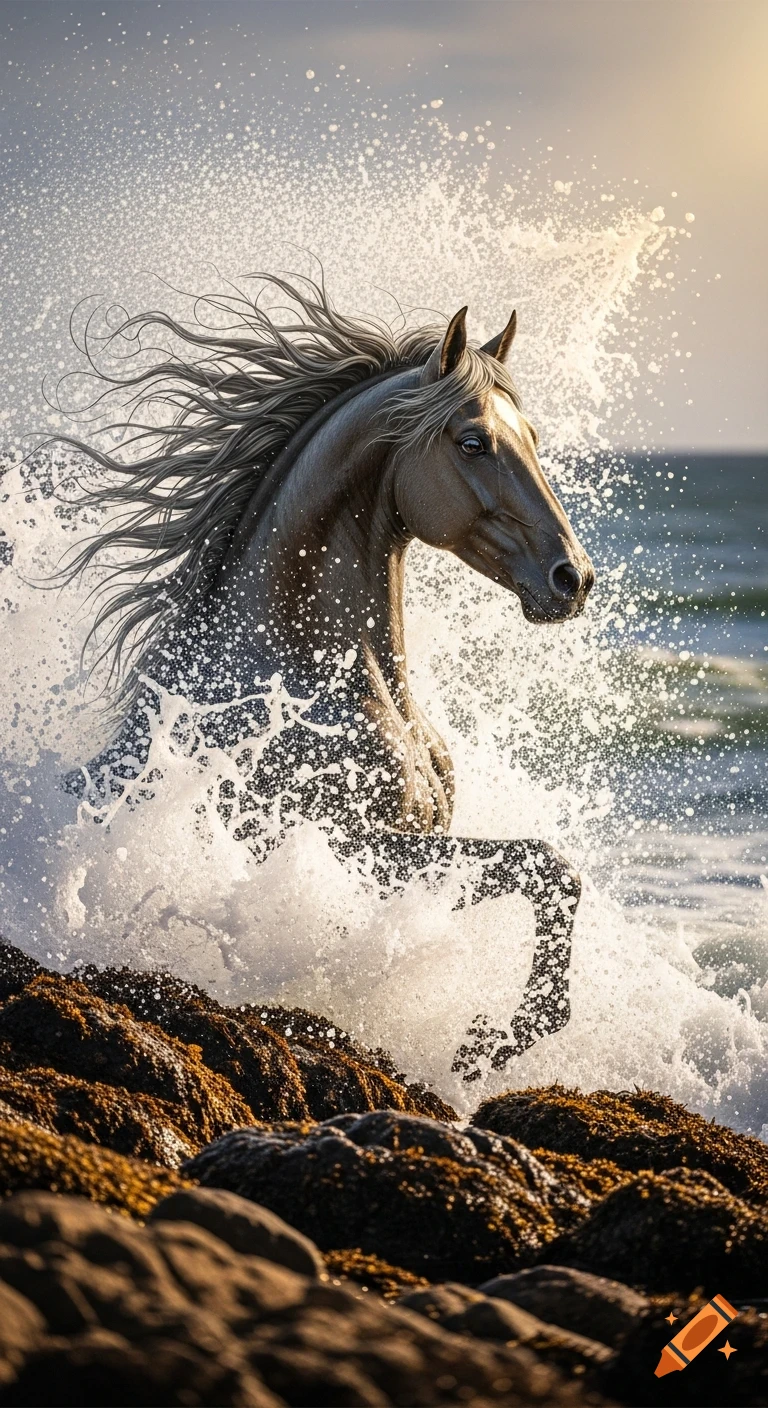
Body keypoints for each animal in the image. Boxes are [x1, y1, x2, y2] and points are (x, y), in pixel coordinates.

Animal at [55, 275, 595, 1081]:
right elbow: (547, 866)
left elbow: (550, 872)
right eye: (472, 441)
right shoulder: (364, 851)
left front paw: (497, 1033)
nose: (573, 578)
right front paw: (497, 1038)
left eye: (532, 438)